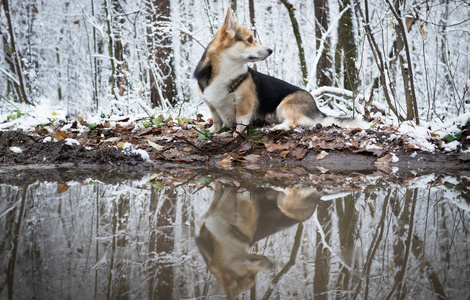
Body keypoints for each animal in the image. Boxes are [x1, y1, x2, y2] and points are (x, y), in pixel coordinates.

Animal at [194, 7, 364, 134]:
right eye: (250, 40)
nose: (270, 50)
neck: (227, 70)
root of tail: (317, 110)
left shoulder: (244, 105)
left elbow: (241, 123)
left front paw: (236, 135)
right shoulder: (211, 105)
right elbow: (216, 120)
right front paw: (212, 131)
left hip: (284, 105)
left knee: (292, 123)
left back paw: (277, 127)